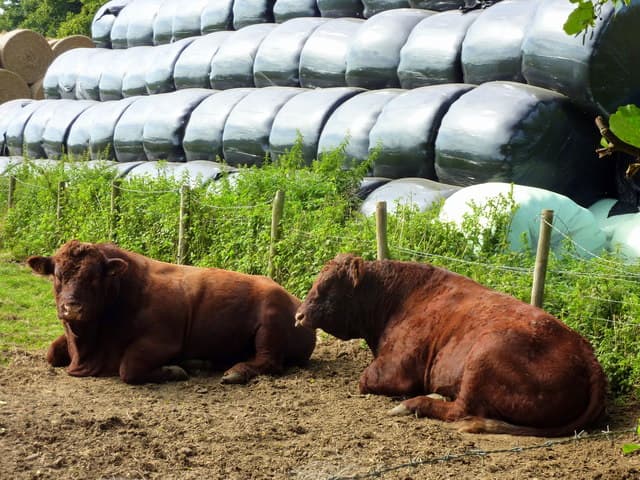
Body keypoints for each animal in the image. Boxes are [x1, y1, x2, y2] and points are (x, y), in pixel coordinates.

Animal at [27, 240, 316, 384]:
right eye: (58, 275)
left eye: (94, 277)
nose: (72, 307)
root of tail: (291, 297)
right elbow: (51, 352)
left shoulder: (163, 340)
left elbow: (128, 368)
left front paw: (174, 371)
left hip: (269, 323)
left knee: (269, 361)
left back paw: (234, 372)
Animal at [294, 253, 607, 437]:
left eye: (328, 285)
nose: (298, 315)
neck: (396, 299)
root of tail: (587, 354)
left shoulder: (395, 369)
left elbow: (365, 381)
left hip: (482, 357)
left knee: (462, 411)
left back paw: (414, 404)